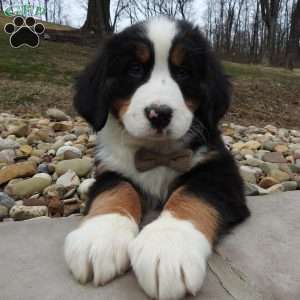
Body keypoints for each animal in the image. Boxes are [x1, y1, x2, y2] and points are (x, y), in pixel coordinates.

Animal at [64, 17, 250, 300]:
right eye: (134, 69)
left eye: (183, 72)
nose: (159, 114)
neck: (158, 152)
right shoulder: (110, 168)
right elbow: (116, 189)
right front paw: (100, 236)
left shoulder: (219, 170)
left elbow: (191, 194)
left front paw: (168, 247)